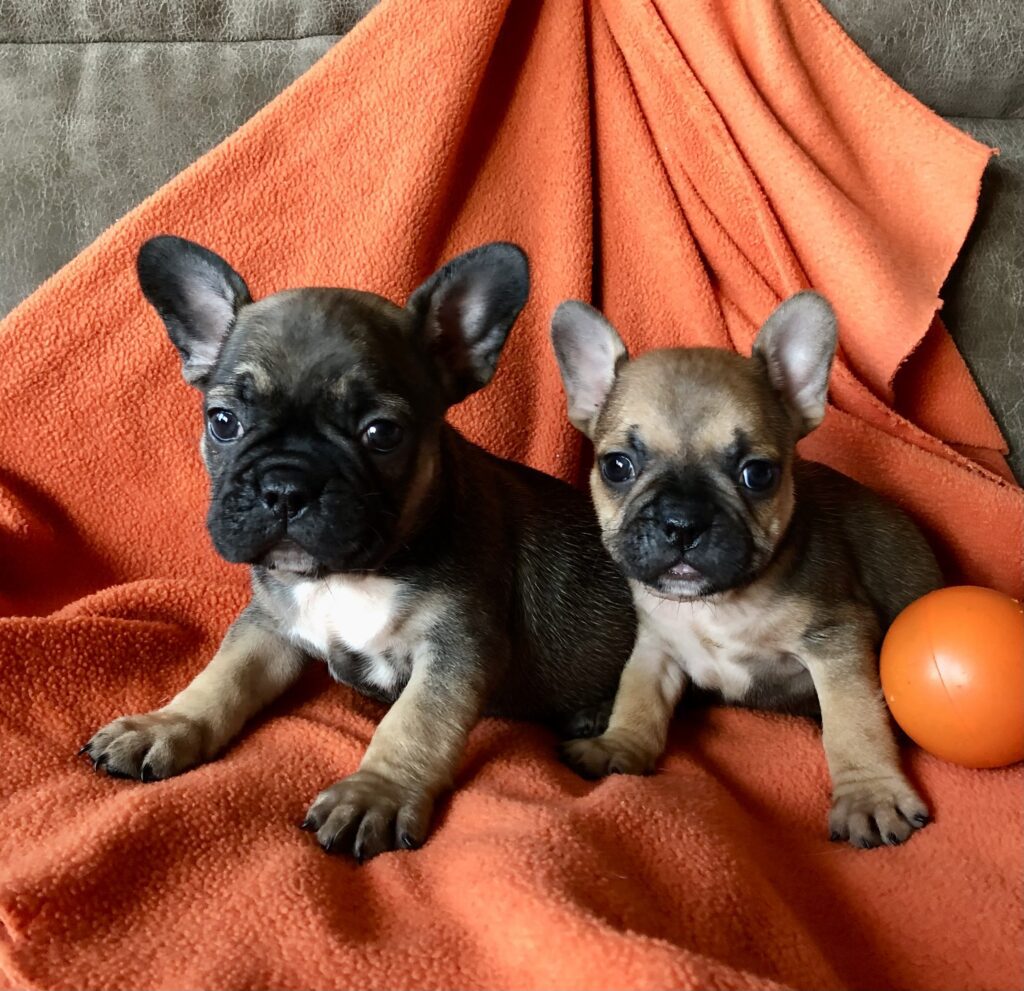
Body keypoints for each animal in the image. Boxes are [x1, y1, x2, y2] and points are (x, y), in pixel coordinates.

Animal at [83, 234, 634, 859]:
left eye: (381, 434)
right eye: (223, 422)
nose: (286, 486)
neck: (345, 575)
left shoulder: (457, 648)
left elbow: (417, 723)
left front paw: (376, 792)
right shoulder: (268, 625)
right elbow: (221, 677)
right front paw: (166, 725)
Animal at [548, 290, 937, 847]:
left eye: (758, 474)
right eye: (616, 466)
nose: (681, 521)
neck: (718, 603)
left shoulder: (837, 639)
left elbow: (853, 722)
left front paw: (870, 795)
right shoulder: (658, 646)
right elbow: (639, 696)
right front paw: (619, 743)